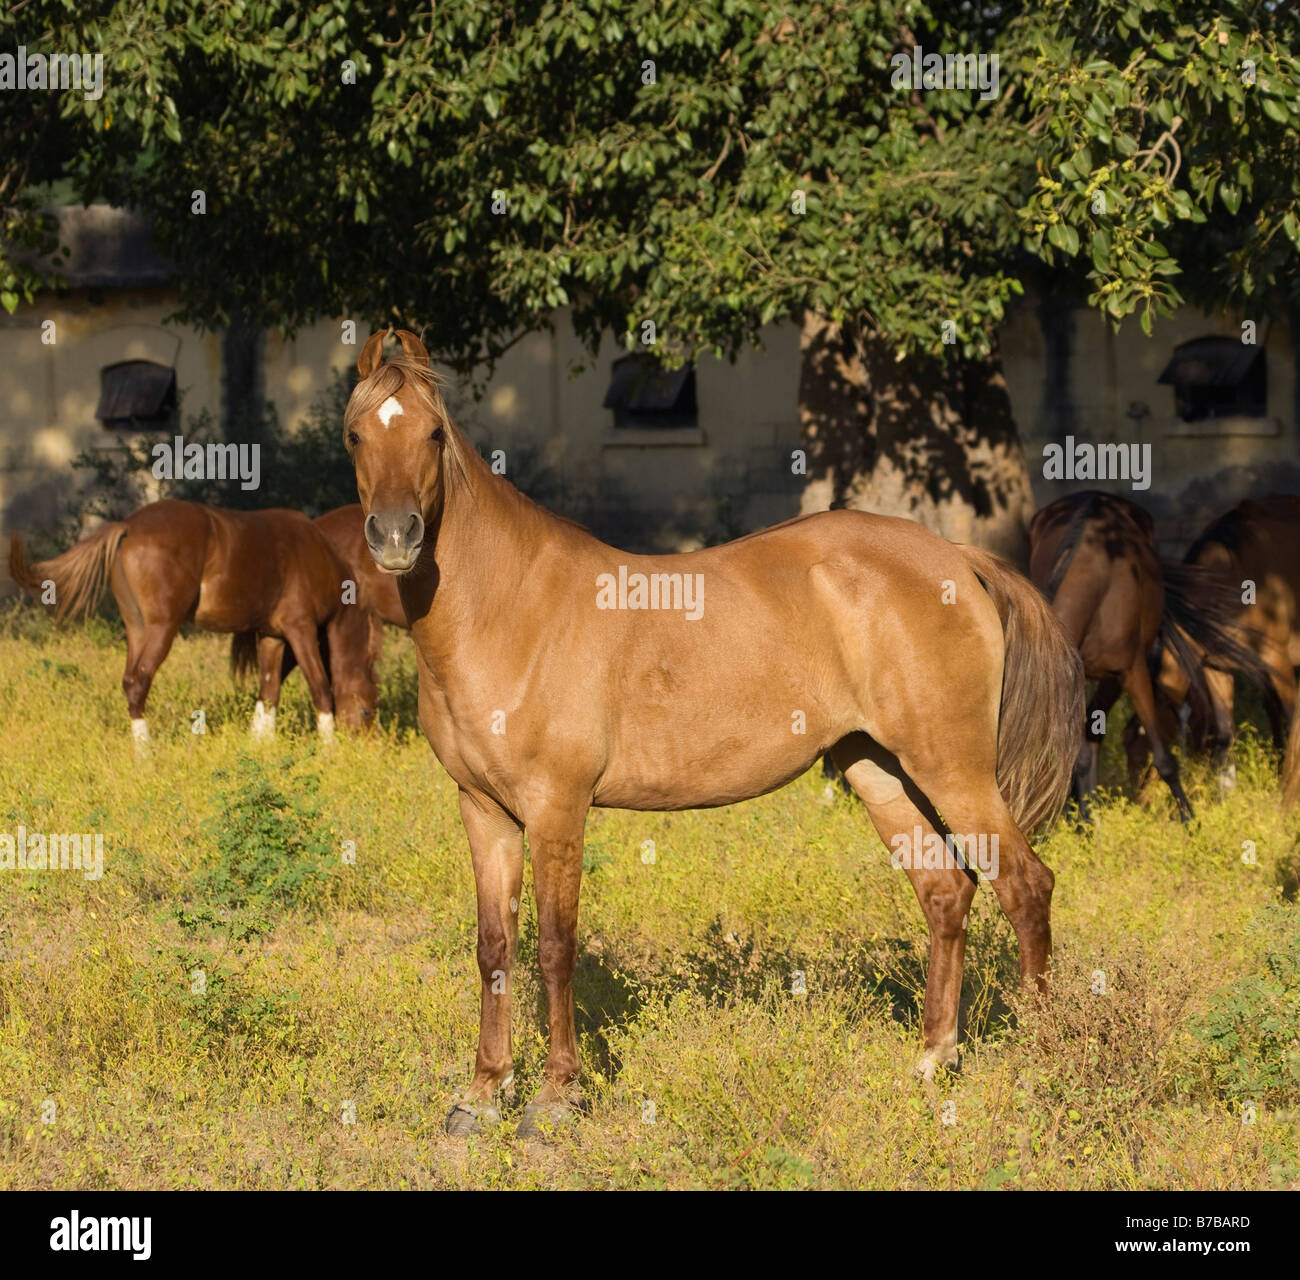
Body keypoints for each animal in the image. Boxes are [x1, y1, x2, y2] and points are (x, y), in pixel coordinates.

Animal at [8, 499, 366, 744]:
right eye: (366, 710)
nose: (363, 737)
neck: (316, 554)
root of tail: (128, 526)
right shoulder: (300, 628)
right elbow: (320, 687)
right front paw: (329, 750)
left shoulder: (272, 636)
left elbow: (268, 692)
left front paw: (260, 746)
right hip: (162, 629)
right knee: (138, 682)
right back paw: (146, 758)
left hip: (137, 629)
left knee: (130, 681)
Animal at [343, 329, 1084, 1138]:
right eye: (355, 434)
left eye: (432, 434)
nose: (394, 536)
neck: (510, 607)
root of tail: (956, 559)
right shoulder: (484, 809)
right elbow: (494, 947)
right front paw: (482, 1093)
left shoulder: (557, 808)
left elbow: (554, 946)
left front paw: (557, 1095)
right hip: (877, 768)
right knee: (947, 891)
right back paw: (932, 1060)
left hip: (953, 769)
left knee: (1025, 887)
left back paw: (1041, 1063)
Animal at [1121, 495, 1298, 799]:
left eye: (1141, 744)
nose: (1139, 801)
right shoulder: (1216, 667)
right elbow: (1225, 734)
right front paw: (1225, 797)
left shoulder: (1277, 659)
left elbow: (1291, 714)